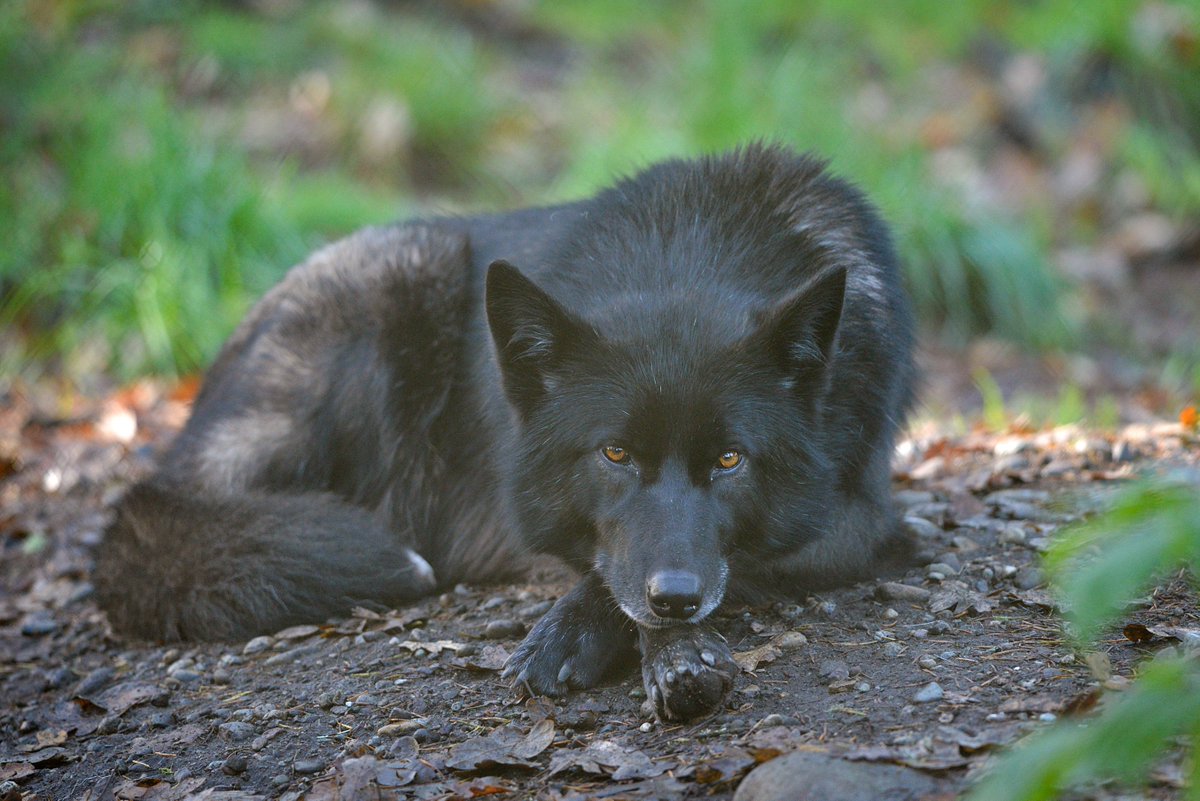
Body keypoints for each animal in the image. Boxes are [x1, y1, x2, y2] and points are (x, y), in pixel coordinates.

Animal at [95, 144, 915, 720]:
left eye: (730, 459)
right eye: (615, 453)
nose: (677, 598)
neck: (694, 246)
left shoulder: (860, 515)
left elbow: (733, 559)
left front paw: (649, 648)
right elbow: (620, 566)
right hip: (391, 293)